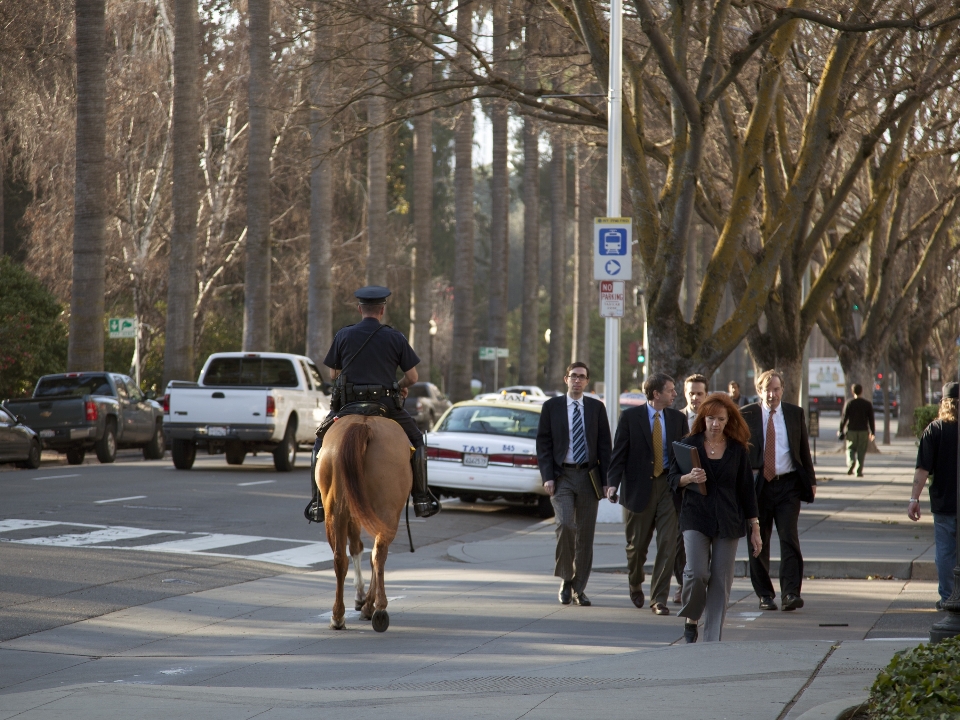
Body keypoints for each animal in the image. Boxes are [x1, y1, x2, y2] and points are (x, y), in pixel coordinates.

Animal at [312, 414, 408, 632]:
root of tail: (364, 424)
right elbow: (364, 550)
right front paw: (364, 600)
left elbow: (355, 547)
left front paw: (361, 598)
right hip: (386, 512)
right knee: (378, 554)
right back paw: (377, 609)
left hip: (335, 510)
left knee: (341, 558)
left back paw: (339, 616)